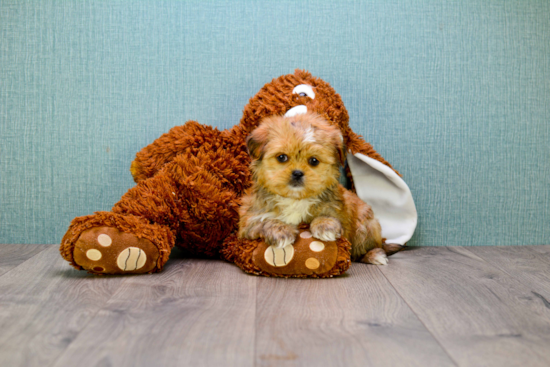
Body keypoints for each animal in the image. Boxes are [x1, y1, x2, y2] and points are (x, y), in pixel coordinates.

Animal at [239, 110, 390, 266]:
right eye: (281, 157)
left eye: (314, 161)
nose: (297, 173)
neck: (295, 198)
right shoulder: (248, 221)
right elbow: (263, 221)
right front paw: (281, 230)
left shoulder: (338, 211)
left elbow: (329, 216)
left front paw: (325, 225)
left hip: (365, 225)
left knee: (361, 249)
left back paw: (374, 255)